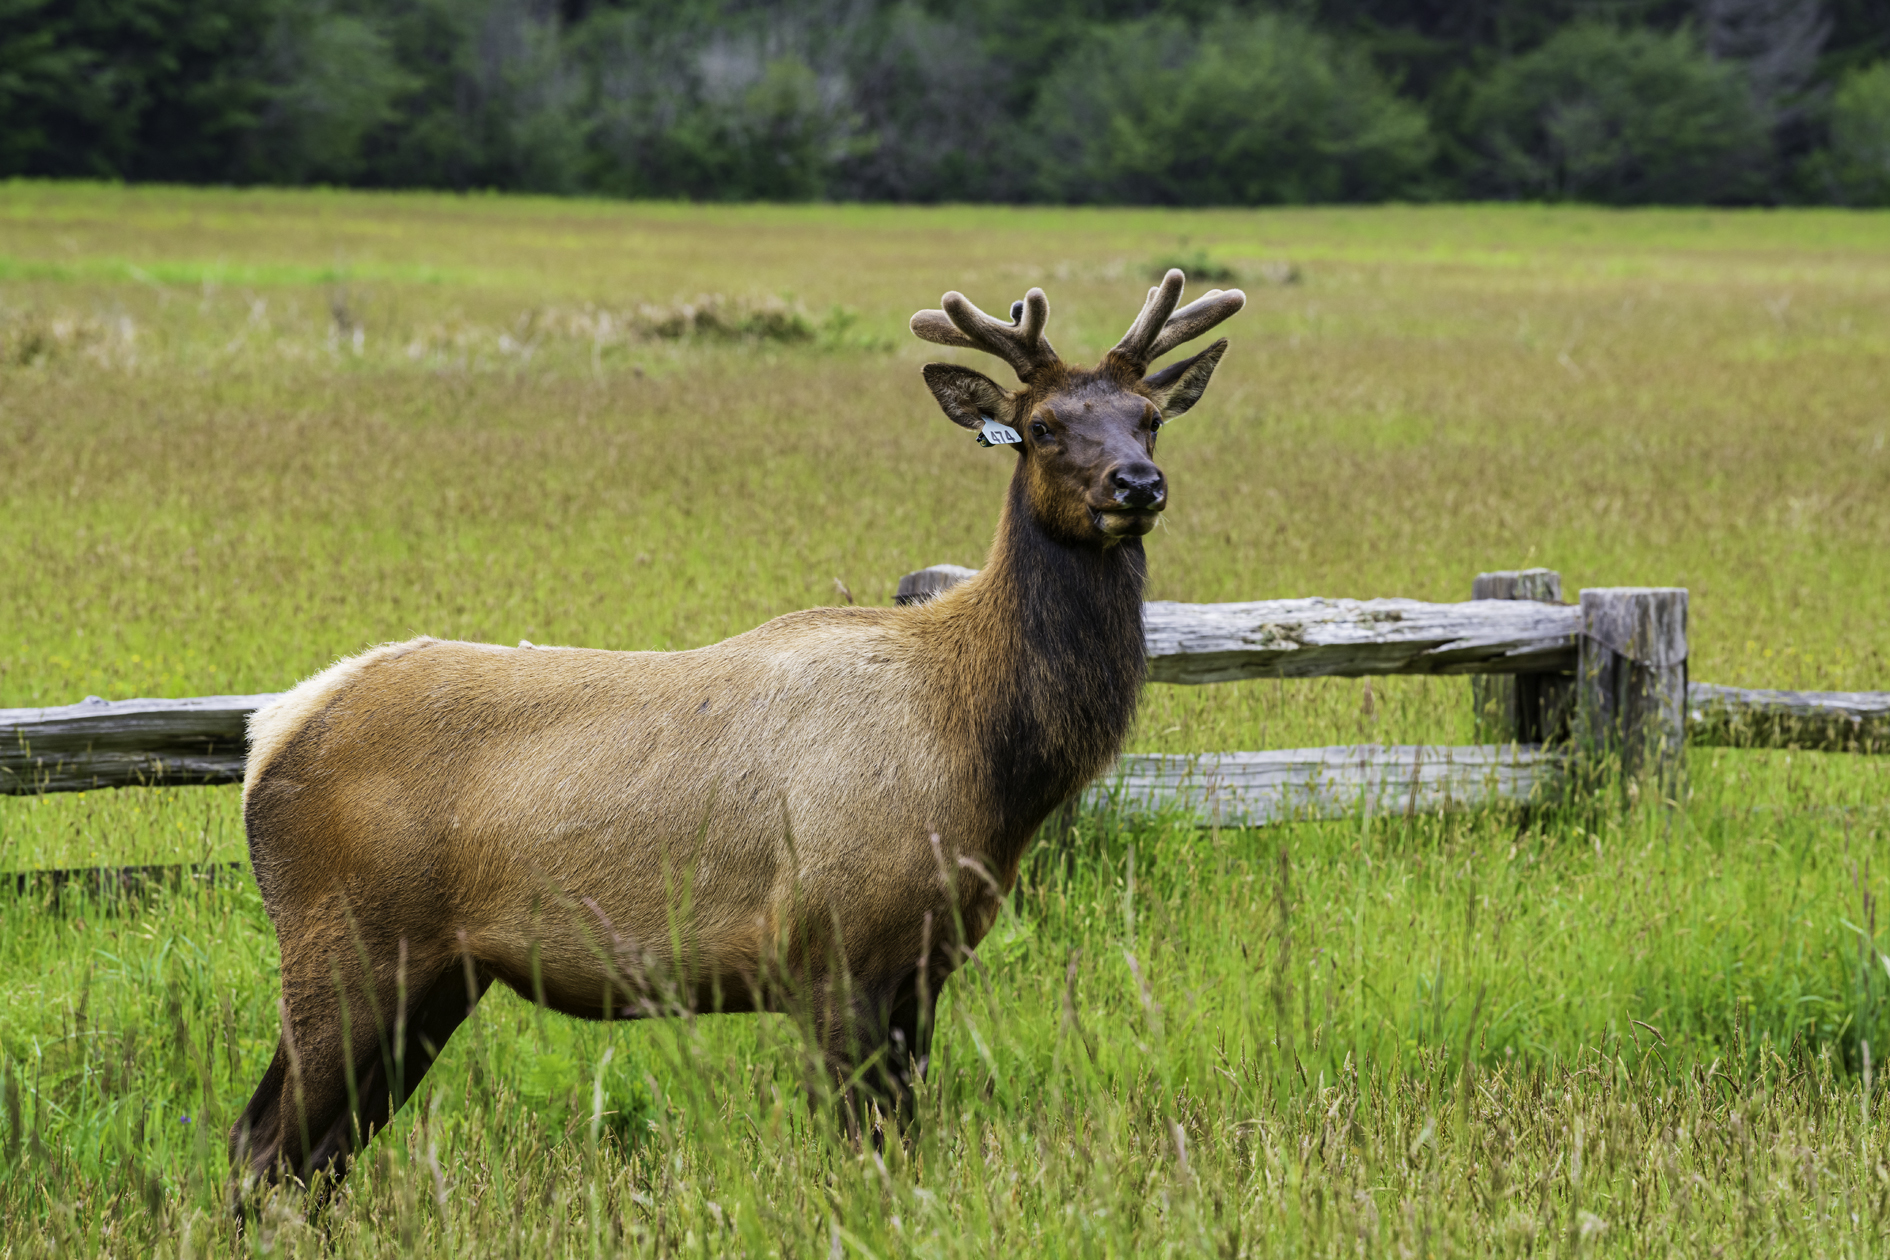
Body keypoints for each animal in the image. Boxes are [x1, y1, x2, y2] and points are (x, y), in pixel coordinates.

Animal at [228, 272, 1247, 1186]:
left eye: (1150, 416)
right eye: (1040, 428)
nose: (1137, 484)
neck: (983, 758)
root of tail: (270, 733)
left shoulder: (924, 966)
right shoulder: (832, 950)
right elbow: (867, 1153)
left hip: (438, 974)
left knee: (320, 1152)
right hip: (344, 941)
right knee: (263, 1142)